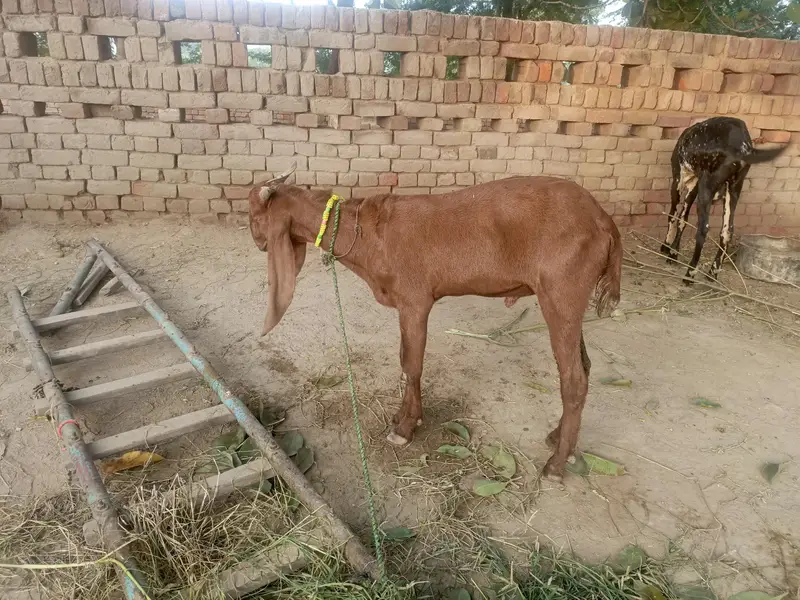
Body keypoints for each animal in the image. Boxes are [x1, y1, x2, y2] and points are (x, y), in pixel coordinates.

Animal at [250, 170, 622, 481]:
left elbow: (411, 363)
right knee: (584, 367)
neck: (369, 236)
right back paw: (560, 440)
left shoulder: (415, 300)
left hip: (562, 290)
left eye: (254, 215)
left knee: (573, 379)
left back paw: (556, 465)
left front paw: (404, 427)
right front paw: (405, 418)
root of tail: (604, 219)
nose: (258, 242)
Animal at [660, 116, 789, 282]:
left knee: (703, 228)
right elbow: (683, 218)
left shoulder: (679, 180)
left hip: (707, 186)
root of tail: (741, 147)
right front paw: (673, 252)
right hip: (734, 188)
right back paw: (712, 273)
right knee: (727, 230)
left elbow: (674, 214)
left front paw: (667, 246)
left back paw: (690, 273)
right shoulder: (695, 186)